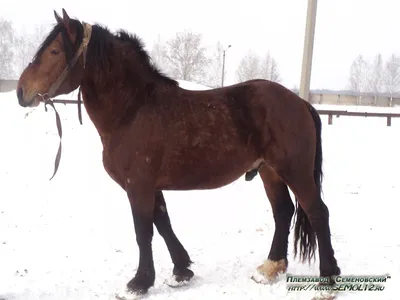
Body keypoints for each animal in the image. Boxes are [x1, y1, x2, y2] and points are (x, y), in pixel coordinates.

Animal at [16, 8, 340, 298]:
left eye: (54, 51)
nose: (21, 92)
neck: (133, 110)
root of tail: (300, 102)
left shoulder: (138, 186)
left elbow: (143, 231)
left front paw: (139, 283)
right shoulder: (150, 186)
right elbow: (163, 224)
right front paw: (181, 271)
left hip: (294, 171)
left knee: (317, 212)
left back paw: (328, 280)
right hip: (269, 171)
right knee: (283, 211)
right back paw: (270, 268)